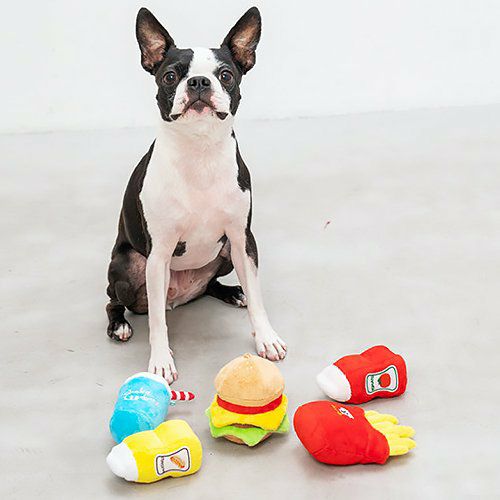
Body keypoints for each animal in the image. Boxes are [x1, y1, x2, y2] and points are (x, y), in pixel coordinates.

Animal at [106, 7, 287, 383]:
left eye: (226, 75)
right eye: (170, 75)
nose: (199, 82)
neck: (199, 150)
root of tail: (180, 295)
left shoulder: (243, 239)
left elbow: (258, 296)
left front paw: (266, 337)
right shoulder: (158, 254)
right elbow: (158, 322)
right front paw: (161, 361)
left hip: (225, 253)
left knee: (210, 285)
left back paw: (232, 292)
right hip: (128, 266)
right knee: (118, 302)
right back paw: (119, 326)